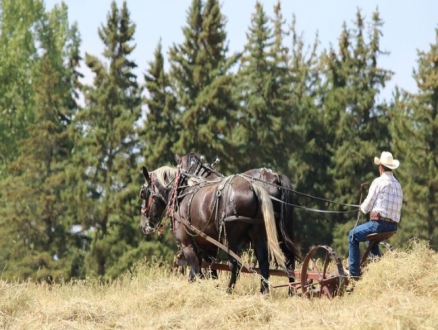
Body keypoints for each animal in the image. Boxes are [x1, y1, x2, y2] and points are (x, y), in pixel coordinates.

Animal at [139, 165, 286, 294]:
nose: (144, 226)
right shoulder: (208, 247)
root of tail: (253, 186)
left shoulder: (187, 245)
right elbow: (209, 272)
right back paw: (264, 292)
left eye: (143, 194)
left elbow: (196, 271)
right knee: (263, 263)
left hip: (229, 239)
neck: (180, 195)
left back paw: (228, 291)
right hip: (257, 234)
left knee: (235, 265)